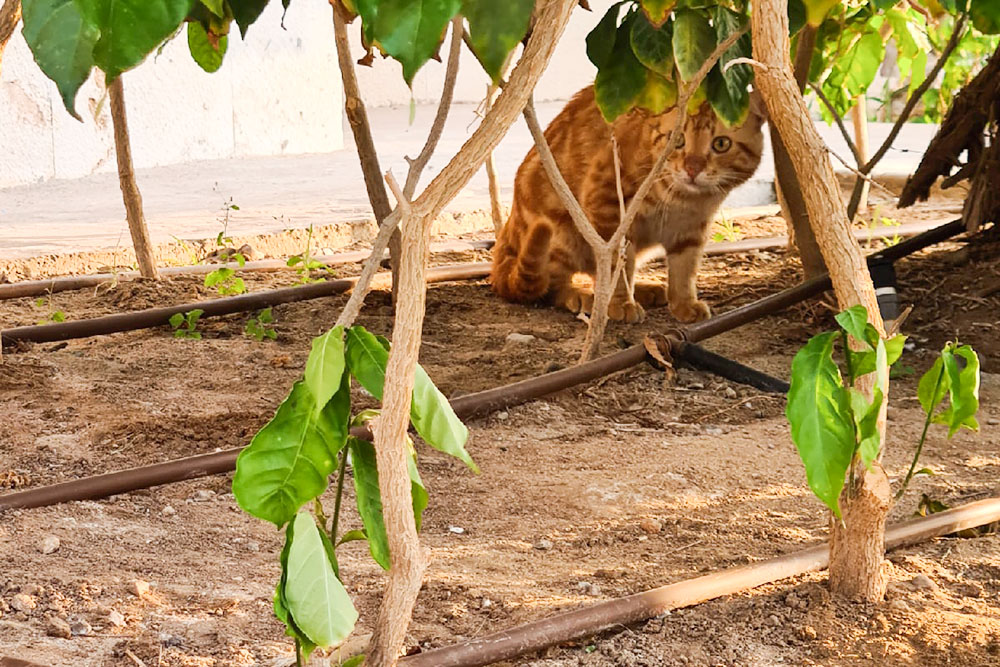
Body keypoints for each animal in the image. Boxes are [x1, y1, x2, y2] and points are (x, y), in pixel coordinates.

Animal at [492, 87, 764, 324]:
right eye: (678, 140)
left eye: (721, 144)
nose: (692, 168)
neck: (682, 200)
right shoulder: (608, 206)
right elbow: (616, 267)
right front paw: (621, 303)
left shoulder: (692, 229)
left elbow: (684, 270)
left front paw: (684, 304)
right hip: (563, 230)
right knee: (552, 287)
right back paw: (582, 296)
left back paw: (644, 290)